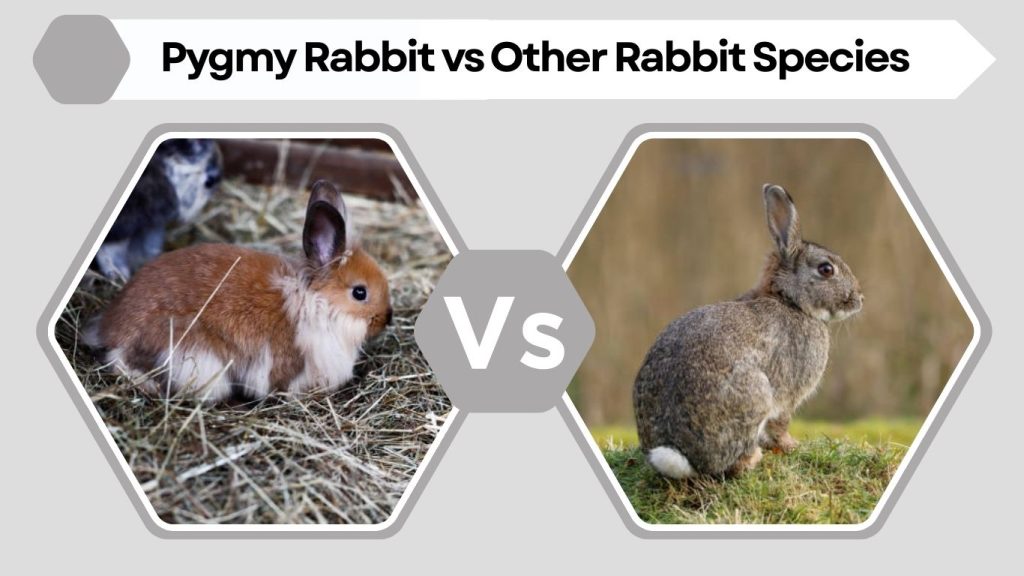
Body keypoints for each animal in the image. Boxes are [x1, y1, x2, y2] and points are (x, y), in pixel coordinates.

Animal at [633, 183, 863, 478]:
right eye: (826, 269)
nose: (859, 299)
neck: (791, 301)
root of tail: (681, 454)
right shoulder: (788, 395)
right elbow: (781, 424)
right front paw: (791, 446)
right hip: (756, 394)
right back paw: (753, 458)